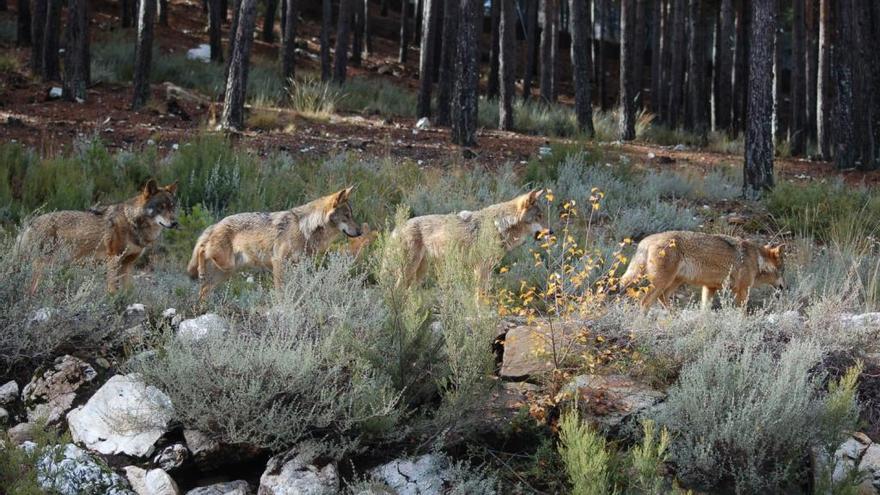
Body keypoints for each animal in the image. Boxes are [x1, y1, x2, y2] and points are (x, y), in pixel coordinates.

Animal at [21, 179, 179, 292]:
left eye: (172, 207)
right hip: (43, 266)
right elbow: (112, 289)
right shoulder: (114, 259)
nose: (175, 223)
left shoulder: (128, 264)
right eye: (161, 207)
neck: (132, 222)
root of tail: (30, 222)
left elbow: (129, 291)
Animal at [187, 187, 362, 300]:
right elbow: (280, 291)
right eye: (347, 215)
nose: (360, 232)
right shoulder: (278, 262)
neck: (305, 228)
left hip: (227, 269)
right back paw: (200, 273)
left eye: (351, 215)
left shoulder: (298, 265)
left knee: (204, 289)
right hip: (225, 263)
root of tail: (216, 224)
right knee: (202, 250)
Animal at [394, 189, 552, 290]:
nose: (552, 231)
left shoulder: (487, 269)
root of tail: (398, 227)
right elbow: (479, 297)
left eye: (543, 216)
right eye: (539, 216)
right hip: (409, 271)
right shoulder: (481, 268)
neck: (500, 225)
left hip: (419, 273)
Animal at [620, 232, 784, 310]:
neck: (757, 260)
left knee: (662, 299)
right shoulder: (743, 291)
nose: (784, 287)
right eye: (782, 270)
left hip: (674, 282)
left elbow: (704, 311)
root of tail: (646, 240)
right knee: (644, 302)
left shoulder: (709, 288)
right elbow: (742, 313)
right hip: (662, 283)